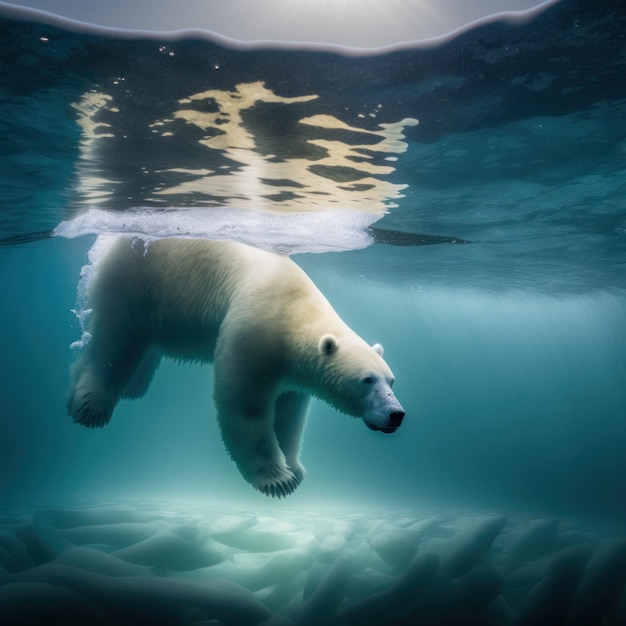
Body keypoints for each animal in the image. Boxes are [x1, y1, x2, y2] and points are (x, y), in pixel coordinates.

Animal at [66, 236, 402, 494]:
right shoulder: (255, 330)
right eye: (367, 380)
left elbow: (290, 415)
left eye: (391, 380)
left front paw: (294, 469)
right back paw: (91, 406)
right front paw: (276, 480)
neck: (297, 309)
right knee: (115, 342)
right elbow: (244, 405)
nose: (396, 415)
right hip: (138, 277)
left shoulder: (291, 372)